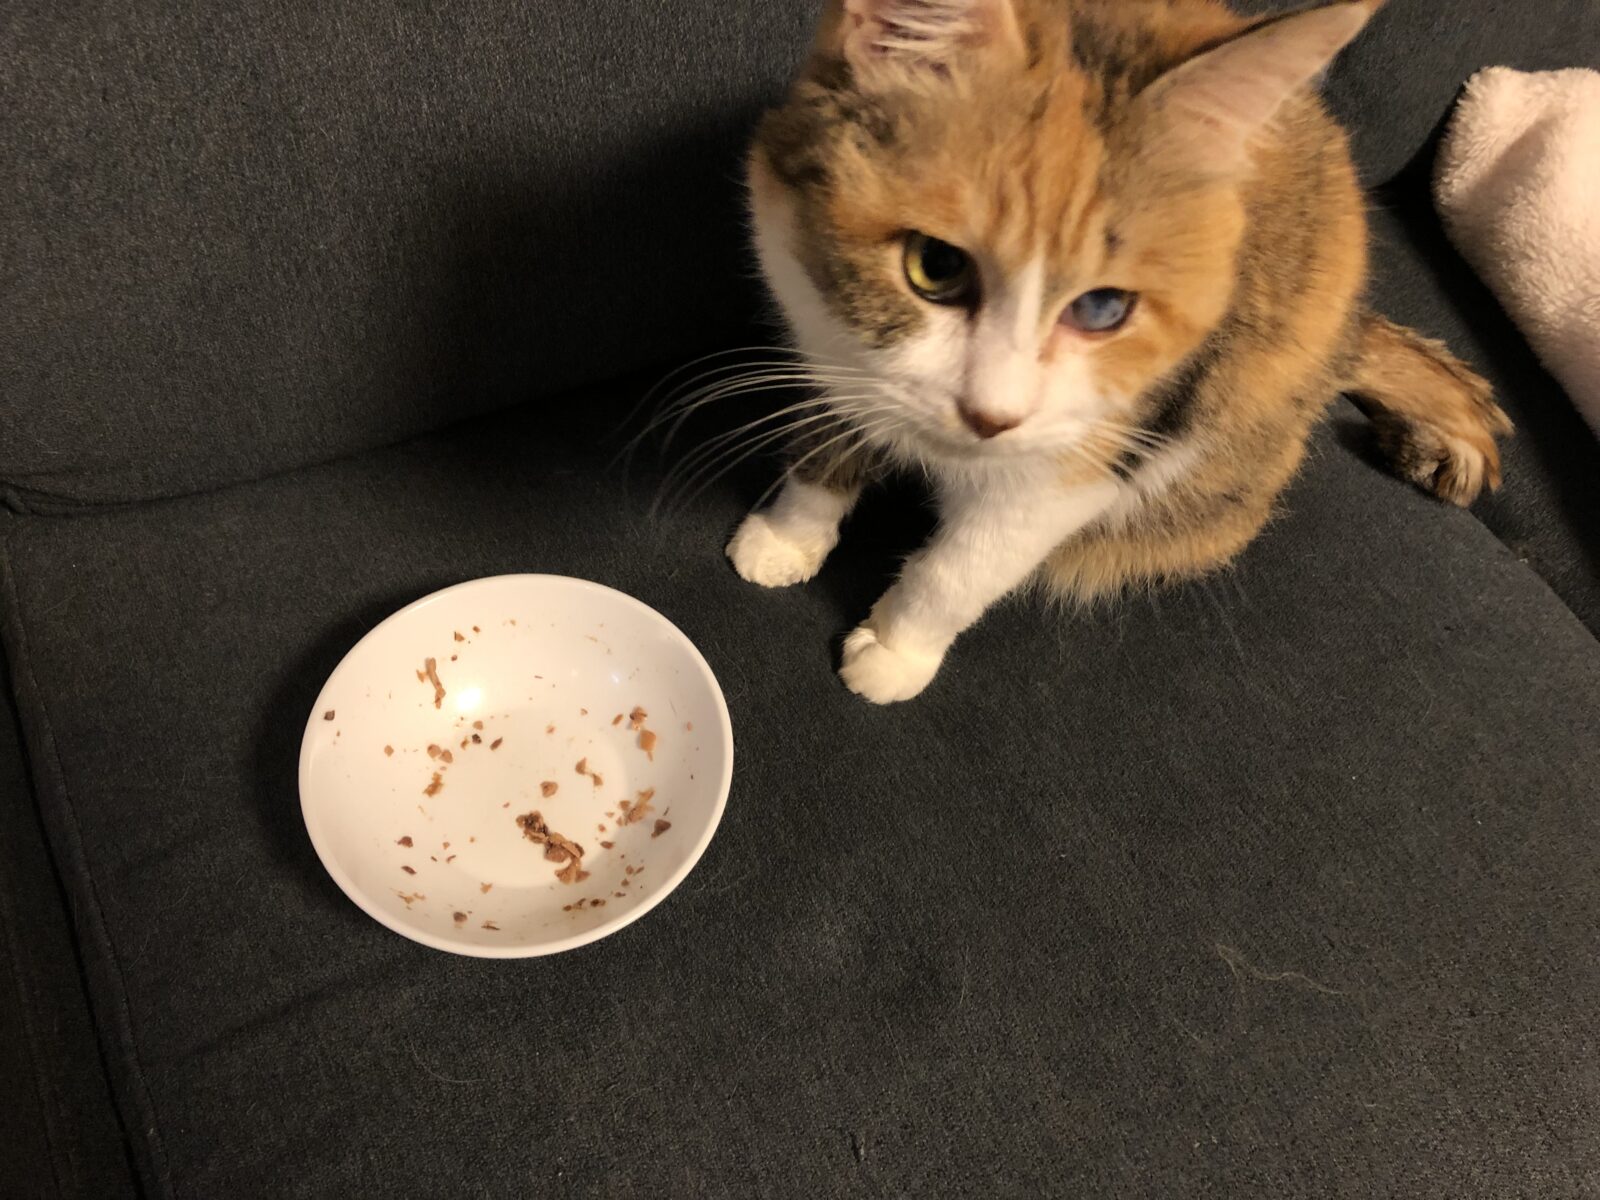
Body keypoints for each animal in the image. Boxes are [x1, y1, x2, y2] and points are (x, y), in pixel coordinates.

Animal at [723, 0, 1511, 703]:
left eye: (1104, 309)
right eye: (935, 265)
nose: (990, 418)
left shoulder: (1106, 444)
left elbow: (970, 561)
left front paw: (895, 649)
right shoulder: (825, 328)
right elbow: (827, 438)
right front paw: (787, 538)